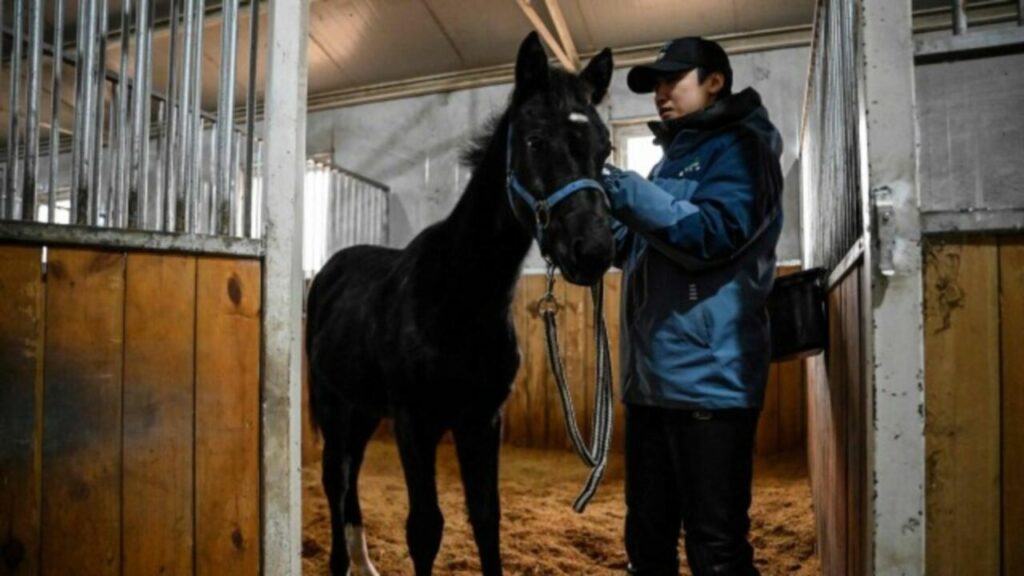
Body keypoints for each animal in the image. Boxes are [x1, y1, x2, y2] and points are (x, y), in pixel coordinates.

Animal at [305, 32, 615, 576]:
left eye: (605, 148)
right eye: (535, 140)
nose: (595, 250)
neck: (457, 295)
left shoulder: (482, 420)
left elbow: (486, 517)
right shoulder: (415, 422)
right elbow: (425, 528)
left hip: (364, 408)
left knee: (351, 478)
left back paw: (364, 561)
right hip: (333, 403)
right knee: (335, 479)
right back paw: (343, 562)